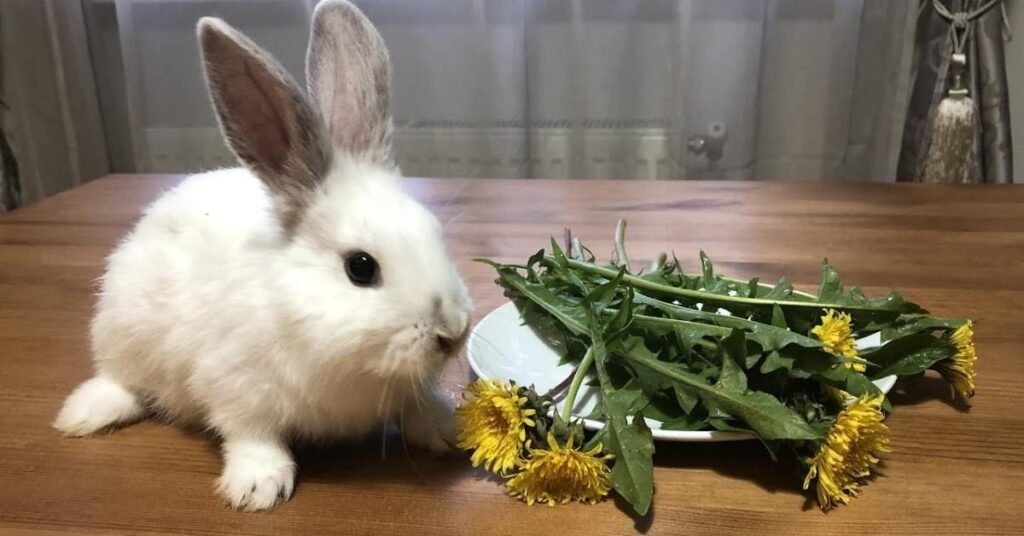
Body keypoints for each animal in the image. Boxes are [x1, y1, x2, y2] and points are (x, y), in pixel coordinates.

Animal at [52, 0, 472, 512]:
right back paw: (84, 414)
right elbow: (252, 435)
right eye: (361, 267)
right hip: (123, 334)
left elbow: (419, 409)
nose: (453, 332)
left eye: (436, 233)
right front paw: (258, 488)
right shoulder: (236, 386)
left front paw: (448, 429)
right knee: (121, 380)